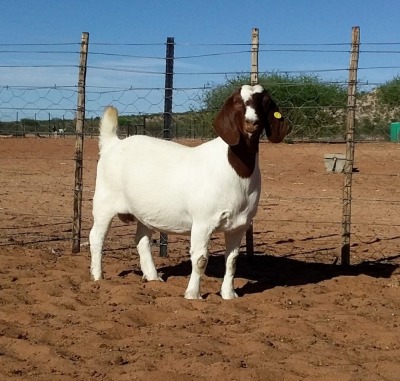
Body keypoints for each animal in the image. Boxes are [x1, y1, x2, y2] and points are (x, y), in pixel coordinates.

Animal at [88, 84, 288, 298]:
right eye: (236, 101)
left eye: (265, 102)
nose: (252, 122)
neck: (235, 173)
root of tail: (113, 143)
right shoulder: (203, 222)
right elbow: (200, 259)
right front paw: (193, 294)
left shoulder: (239, 226)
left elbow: (232, 261)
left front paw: (229, 295)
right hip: (104, 202)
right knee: (96, 237)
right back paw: (98, 277)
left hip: (144, 210)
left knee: (142, 239)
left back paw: (153, 277)